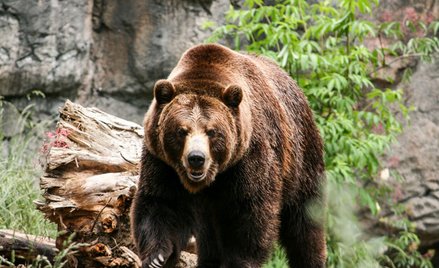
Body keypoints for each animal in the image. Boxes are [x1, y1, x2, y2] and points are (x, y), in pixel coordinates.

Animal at [131, 43, 326, 266]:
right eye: (181, 130)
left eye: (212, 131)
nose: (196, 158)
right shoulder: (162, 162)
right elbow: (161, 202)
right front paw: (157, 257)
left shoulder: (249, 157)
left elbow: (250, 213)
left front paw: (240, 260)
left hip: (300, 156)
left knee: (305, 219)